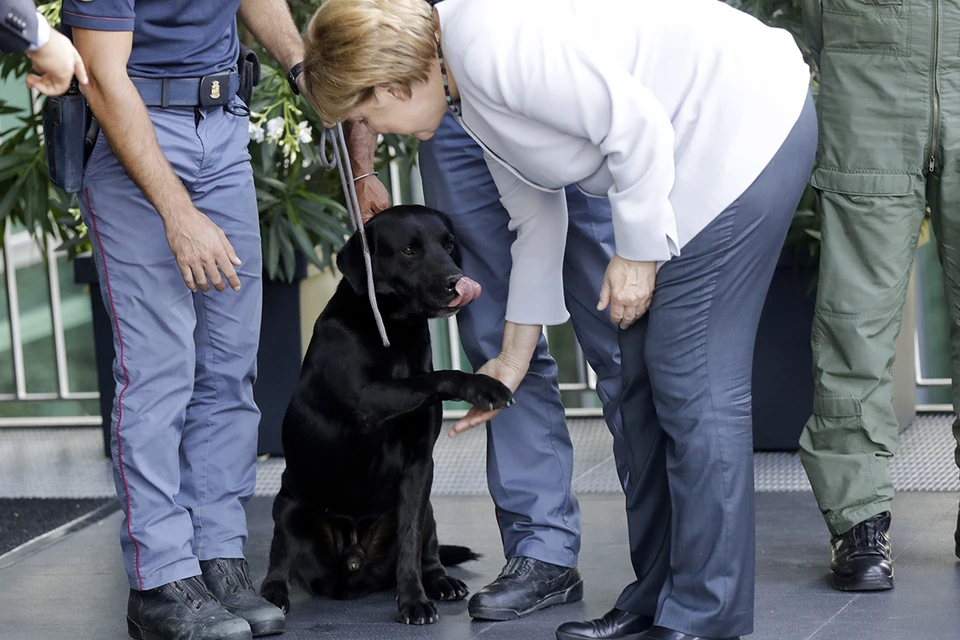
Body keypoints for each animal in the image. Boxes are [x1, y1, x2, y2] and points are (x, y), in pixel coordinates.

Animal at [258, 205, 512, 624]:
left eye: (449, 245)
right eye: (409, 250)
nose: (457, 282)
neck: (395, 328)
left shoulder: (419, 467)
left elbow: (410, 542)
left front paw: (413, 599)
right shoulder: (368, 399)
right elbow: (436, 376)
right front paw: (483, 386)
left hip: (429, 506)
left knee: (428, 546)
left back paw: (441, 581)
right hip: (288, 506)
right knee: (279, 554)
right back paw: (273, 593)